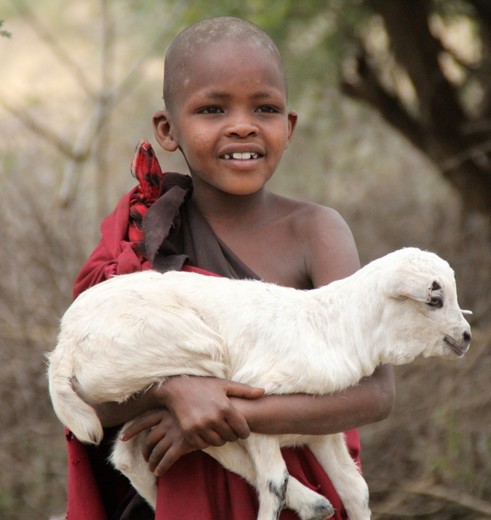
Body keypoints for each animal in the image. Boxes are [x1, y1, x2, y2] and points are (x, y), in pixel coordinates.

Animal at [47, 248, 472, 520]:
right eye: (434, 299)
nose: (466, 337)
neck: (333, 328)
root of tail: (65, 345)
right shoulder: (258, 397)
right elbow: (273, 482)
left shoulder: (322, 426)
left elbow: (355, 488)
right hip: (187, 351)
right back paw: (312, 503)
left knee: (128, 455)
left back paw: (315, 504)